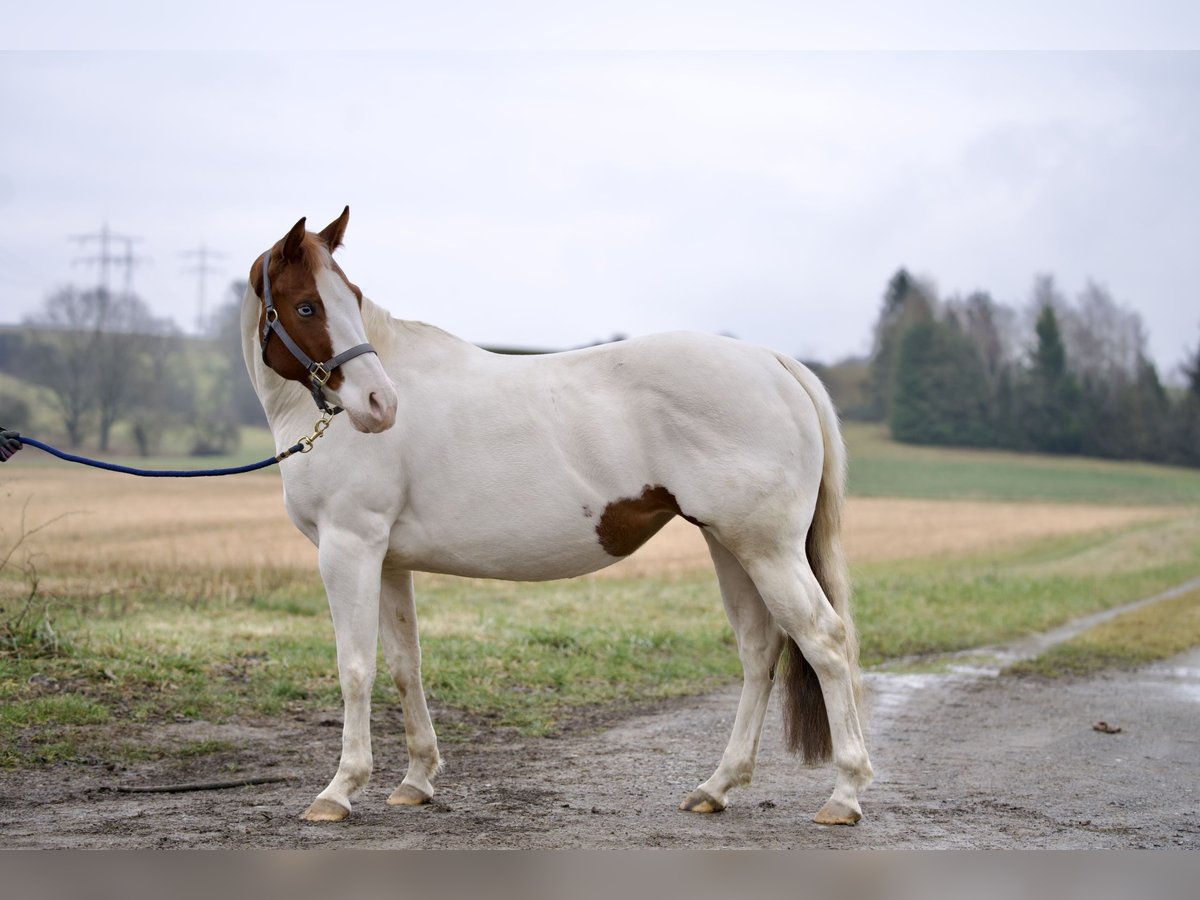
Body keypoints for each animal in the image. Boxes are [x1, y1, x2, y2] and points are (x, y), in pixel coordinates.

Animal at [241, 207, 874, 826]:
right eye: (307, 305)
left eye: (350, 298)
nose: (381, 405)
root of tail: (774, 361)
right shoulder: (389, 561)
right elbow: (404, 665)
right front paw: (416, 780)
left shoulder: (349, 547)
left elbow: (354, 668)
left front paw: (339, 789)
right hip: (731, 546)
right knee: (759, 651)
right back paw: (717, 787)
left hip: (768, 549)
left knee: (823, 640)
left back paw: (844, 794)